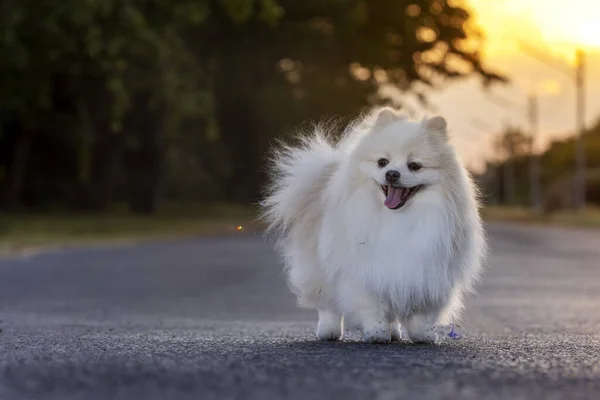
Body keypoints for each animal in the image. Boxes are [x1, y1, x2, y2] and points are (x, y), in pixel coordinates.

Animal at [262, 107, 488, 344]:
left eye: (414, 166)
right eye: (382, 162)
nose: (392, 173)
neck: (399, 218)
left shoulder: (427, 272)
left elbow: (421, 314)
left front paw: (423, 335)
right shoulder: (364, 271)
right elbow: (372, 306)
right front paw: (376, 333)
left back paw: (395, 332)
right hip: (319, 269)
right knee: (328, 304)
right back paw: (329, 331)